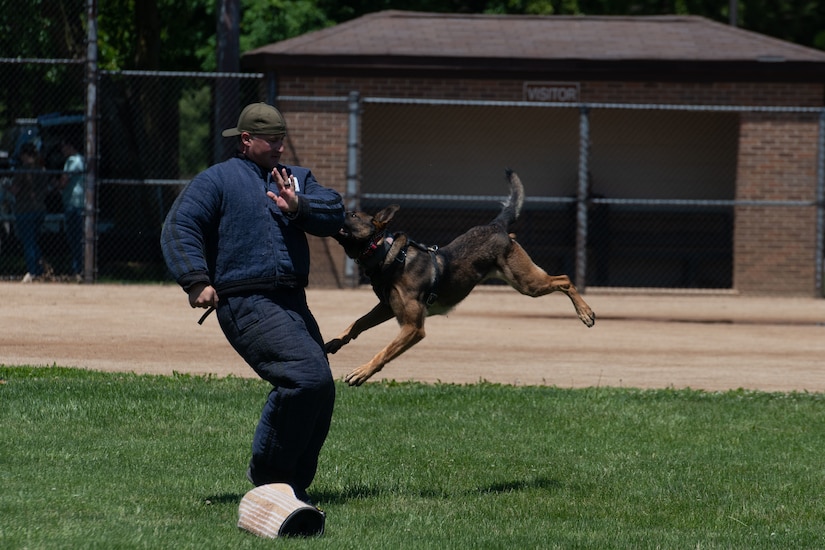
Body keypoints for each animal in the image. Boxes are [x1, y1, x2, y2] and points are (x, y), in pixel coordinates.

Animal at [326, 170, 592, 386]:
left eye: (352, 214)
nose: (335, 203)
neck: (387, 254)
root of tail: (496, 225)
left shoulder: (413, 327)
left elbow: (384, 351)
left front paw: (362, 372)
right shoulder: (386, 308)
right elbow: (357, 323)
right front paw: (335, 342)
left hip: (528, 283)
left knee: (564, 279)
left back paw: (586, 313)